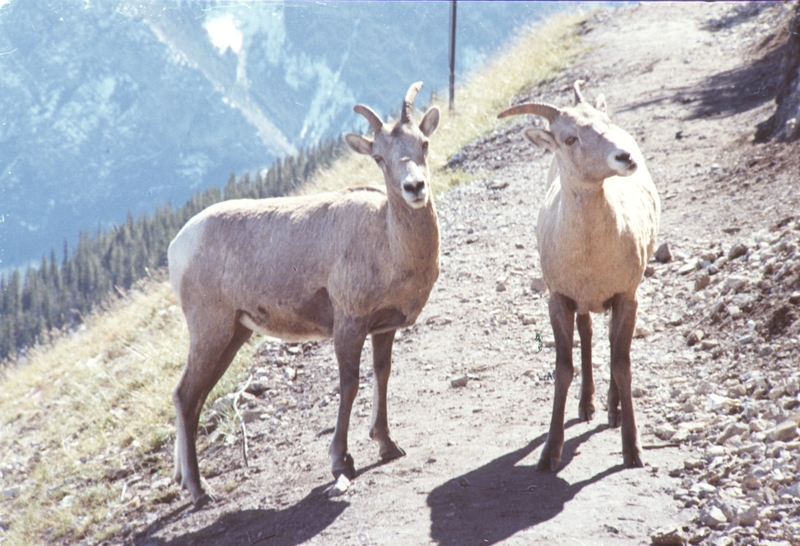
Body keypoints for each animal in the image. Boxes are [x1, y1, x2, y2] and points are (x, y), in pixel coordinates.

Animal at [170, 81, 444, 502]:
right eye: (379, 157)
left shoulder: (383, 328)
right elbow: (349, 385)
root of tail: (178, 246)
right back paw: (202, 493)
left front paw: (388, 445)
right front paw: (341, 463)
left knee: (196, 398)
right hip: (210, 330)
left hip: (233, 334)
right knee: (185, 396)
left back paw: (190, 484)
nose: (414, 187)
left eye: (424, 143)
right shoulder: (348, 325)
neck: (387, 242)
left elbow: (381, 374)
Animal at [496, 79, 660, 468]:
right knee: (586, 334)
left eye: (605, 122)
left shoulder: (627, 297)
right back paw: (587, 407)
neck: (590, 255)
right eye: (569, 138)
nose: (625, 157)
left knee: (609, 342)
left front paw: (633, 450)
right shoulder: (560, 300)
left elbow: (622, 365)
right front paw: (548, 455)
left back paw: (612, 412)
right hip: (583, 304)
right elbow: (564, 369)